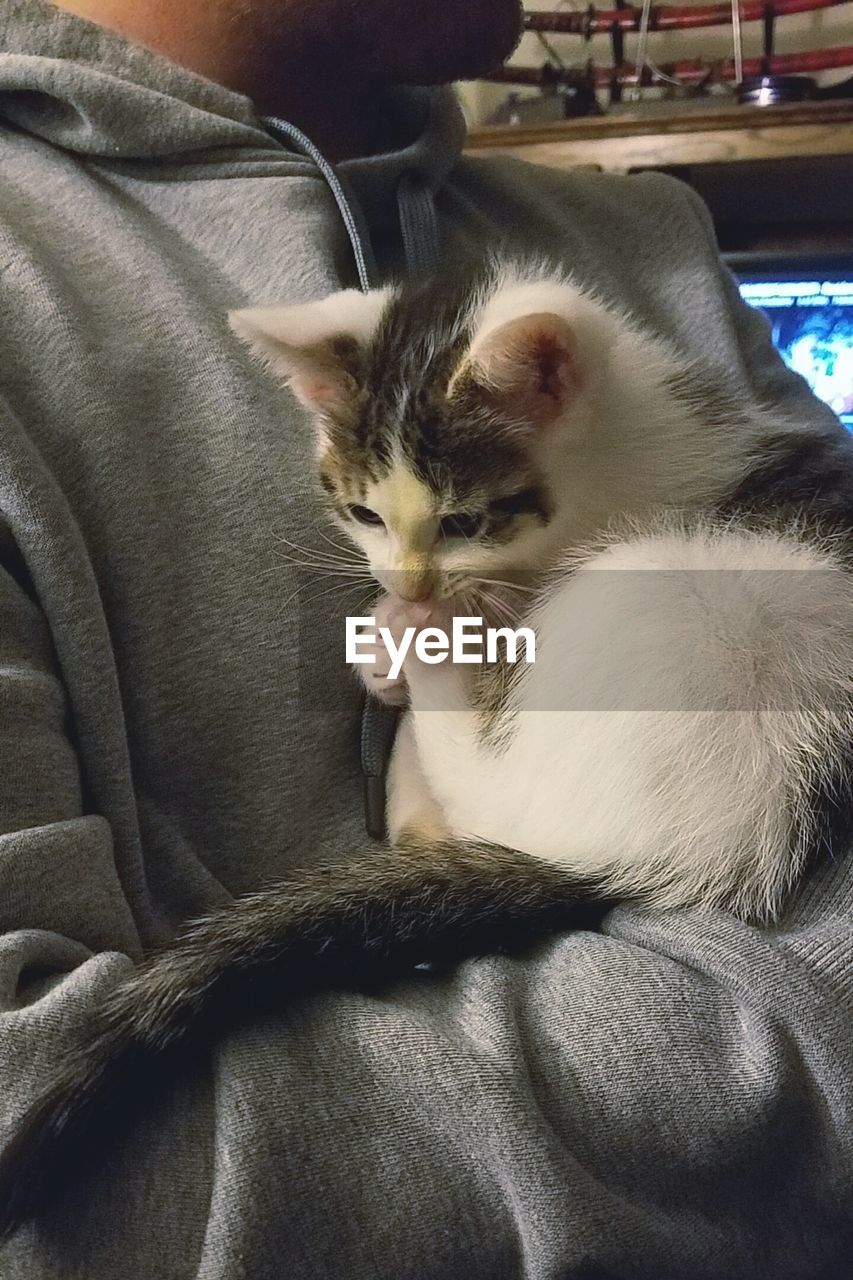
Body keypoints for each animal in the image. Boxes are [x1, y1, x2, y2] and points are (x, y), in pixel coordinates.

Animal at [1, 259, 850, 1228]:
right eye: (362, 512)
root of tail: (644, 856)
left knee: (491, 783)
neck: (613, 454)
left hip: (692, 606)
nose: (407, 584)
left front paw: (411, 634)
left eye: (463, 521)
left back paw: (421, 662)